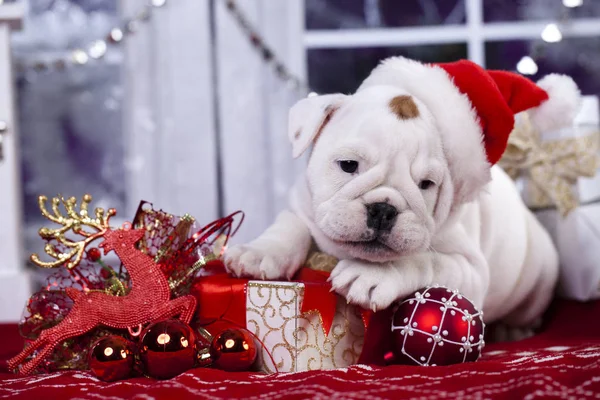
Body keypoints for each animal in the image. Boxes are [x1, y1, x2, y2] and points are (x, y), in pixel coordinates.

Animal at [226, 57, 580, 332]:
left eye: (426, 184)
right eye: (348, 165)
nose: (383, 209)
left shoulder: (469, 270)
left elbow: (424, 258)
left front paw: (374, 273)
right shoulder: (302, 205)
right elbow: (289, 226)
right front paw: (259, 252)